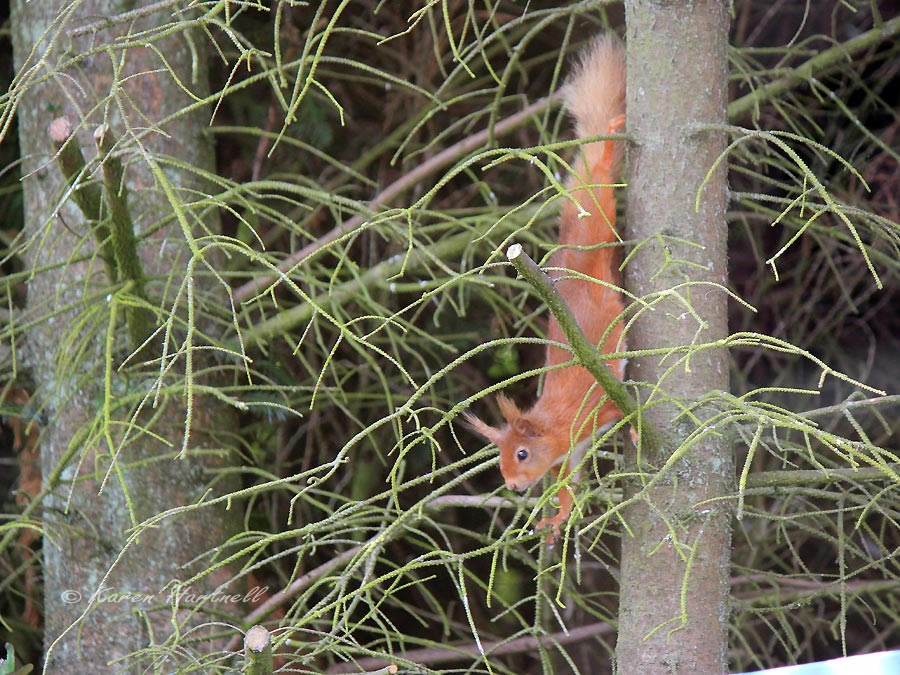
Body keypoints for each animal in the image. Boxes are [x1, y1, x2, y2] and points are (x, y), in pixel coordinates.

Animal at [472, 35, 624, 544]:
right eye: (500, 457)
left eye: (521, 454)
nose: (513, 487)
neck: (554, 426)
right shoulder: (567, 458)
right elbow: (566, 487)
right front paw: (558, 516)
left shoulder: (596, 413)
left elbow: (628, 418)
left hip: (602, 215)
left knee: (600, 172)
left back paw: (611, 135)